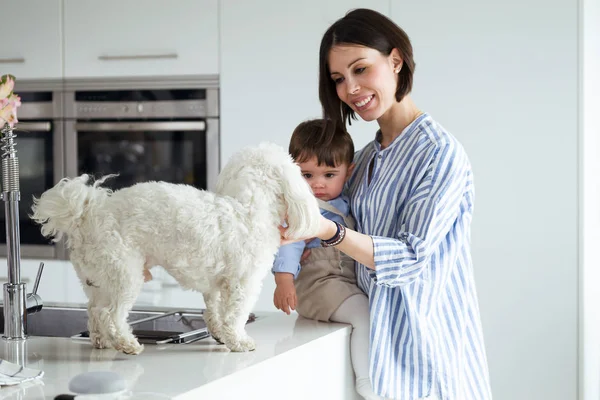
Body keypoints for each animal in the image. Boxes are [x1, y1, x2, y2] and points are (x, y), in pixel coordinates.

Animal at [31, 143, 324, 354]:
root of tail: (87, 213)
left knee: (93, 310)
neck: (248, 207)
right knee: (109, 314)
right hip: (124, 274)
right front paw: (239, 342)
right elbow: (235, 315)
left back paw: (100, 341)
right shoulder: (243, 282)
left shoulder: (216, 285)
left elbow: (215, 312)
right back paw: (127, 344)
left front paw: (220, 335)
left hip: (97, 278)